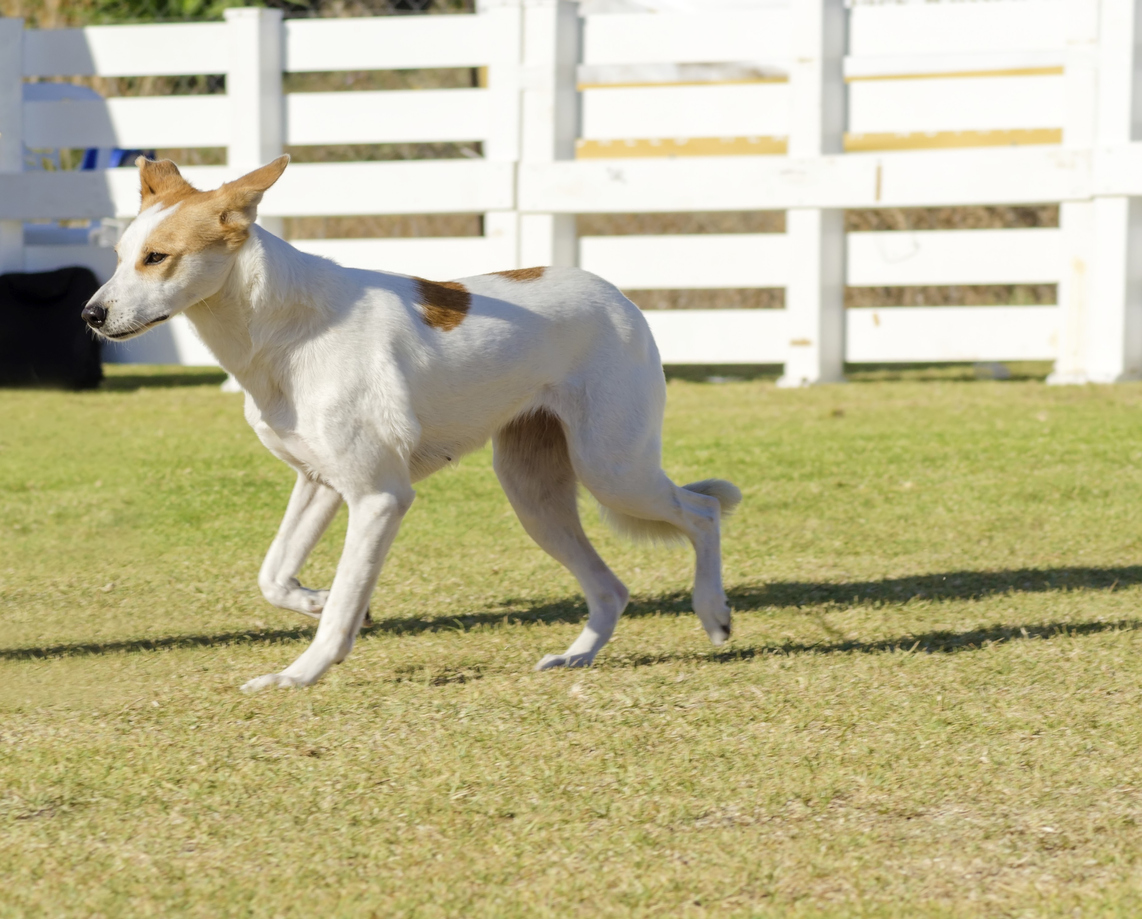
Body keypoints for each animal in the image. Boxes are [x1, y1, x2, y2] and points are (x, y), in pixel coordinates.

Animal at [80, 157, 740, 689]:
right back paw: (576, 657)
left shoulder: (379, 497)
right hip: (534, 496)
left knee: (702, 511)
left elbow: (343, 601)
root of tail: (619, 296)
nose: (91, 315)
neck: (285, 329)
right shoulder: (320, 483)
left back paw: (713, 613)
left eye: (157, 258)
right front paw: (319, 603)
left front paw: (300, 673)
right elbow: (275, 575)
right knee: (611, 588)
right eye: (119, 259)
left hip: (613, 468)